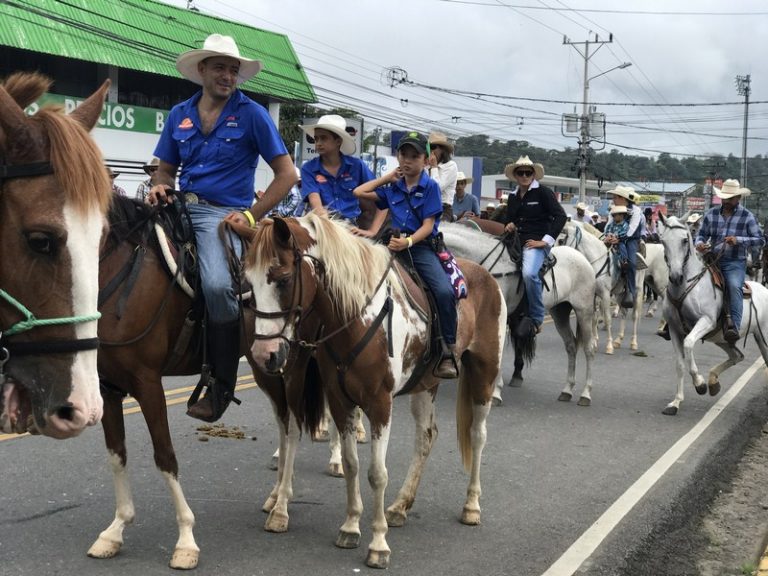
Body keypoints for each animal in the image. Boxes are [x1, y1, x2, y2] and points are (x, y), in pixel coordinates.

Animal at [248, 214, 510, 568]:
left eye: (284, 279)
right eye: (249, 282)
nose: (265, 355)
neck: (357, 315)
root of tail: (489, 278)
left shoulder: (380, 403)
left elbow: (377, 473)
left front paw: (378, 544)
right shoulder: (340, 400)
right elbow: (351, 464)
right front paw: (350, 527)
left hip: (484, 374)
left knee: (478, 435)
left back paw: (471, 506)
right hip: (426, 384)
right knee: (426, 437)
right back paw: (400, 506)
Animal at [438, 223, 600, 408]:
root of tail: (582, 258)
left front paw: (495, 392)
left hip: (584, 312)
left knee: (589, 349)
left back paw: (586, 394)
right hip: (560, 312)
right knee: (571, 346)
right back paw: (567, 390)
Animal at [656, 214, 768, 416]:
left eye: (685, 240)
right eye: (663, 241)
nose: (675, 276)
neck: (685, 286)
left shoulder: (706, 322)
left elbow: (689, 343)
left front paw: (699, 384)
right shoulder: (675, 329)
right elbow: (679, 364)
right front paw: (676, 403)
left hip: (763, 337)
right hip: (723, 339)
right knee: (737, 356)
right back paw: (713, 382)